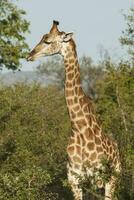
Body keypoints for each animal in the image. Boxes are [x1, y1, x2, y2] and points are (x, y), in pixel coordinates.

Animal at [27, 21, 121, 199]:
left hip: (113, 178)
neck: (79, 129)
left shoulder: (98, 179)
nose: (29, 55)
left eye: (48, 41)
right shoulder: (75, 181)